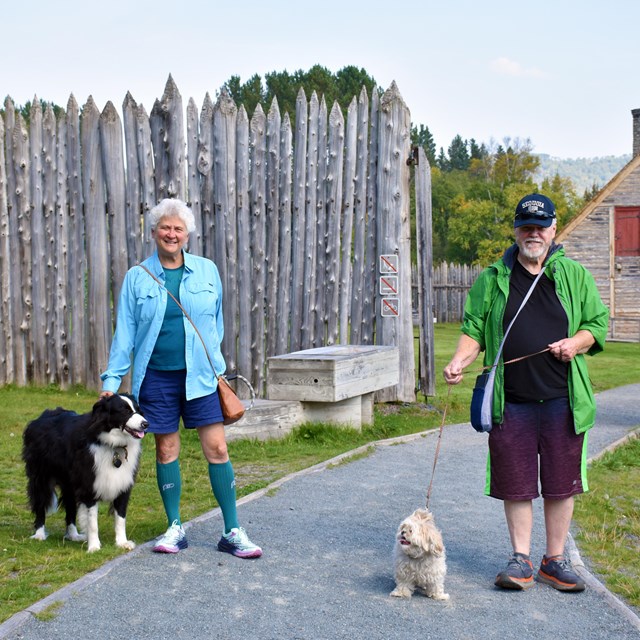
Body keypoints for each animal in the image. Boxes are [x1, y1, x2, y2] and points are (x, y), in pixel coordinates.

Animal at [22, 392, 148, 552]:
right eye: (125, 411)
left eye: (138, 410)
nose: (146, 424)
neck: (112, 444)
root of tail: (41, 417)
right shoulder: (88, 486)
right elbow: (92, 522)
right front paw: (94, 547)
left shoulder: (123, 484)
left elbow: (120, 517)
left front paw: (122, 543)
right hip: (40, 475)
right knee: (40, 503)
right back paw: (39, 534)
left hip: (68, 481)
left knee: (70, 506)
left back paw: (73, 535)